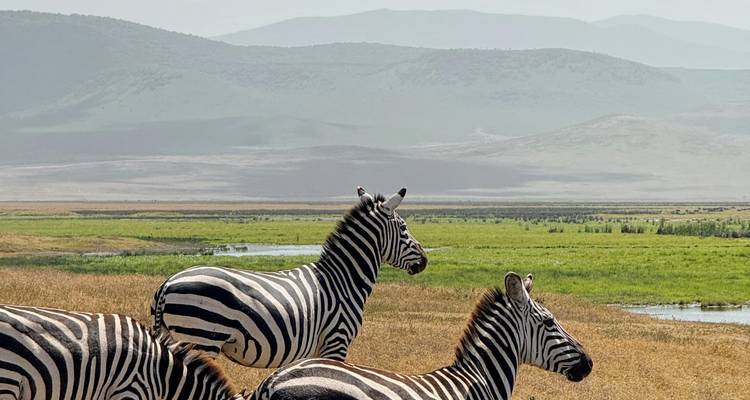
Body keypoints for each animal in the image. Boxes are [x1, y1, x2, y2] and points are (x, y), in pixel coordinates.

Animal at [150, 187, 428, 368]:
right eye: (404, 228)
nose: (424, 261)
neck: (343, 280)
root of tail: (168, 284)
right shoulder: (336, 340)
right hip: (201, 337)